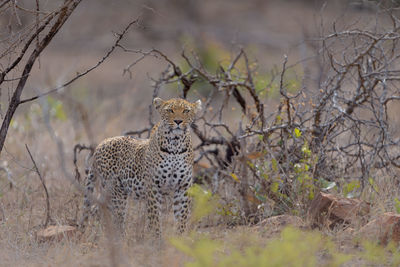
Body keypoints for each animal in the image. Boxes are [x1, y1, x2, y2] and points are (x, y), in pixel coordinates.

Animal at [80, 97, 202, 238]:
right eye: (170, 110)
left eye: (186, 111)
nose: (178, 121)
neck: (176, 146)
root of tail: (101, 144)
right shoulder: (153, 187)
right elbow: (155, 218)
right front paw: (157, 239)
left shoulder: (183, 188)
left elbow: (182, 217)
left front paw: (180, 238)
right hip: (115, 191)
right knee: (114, 216)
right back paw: (119, 238)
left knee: (98, 209)